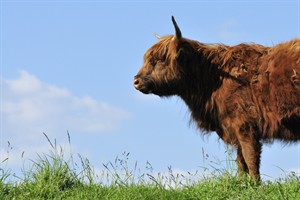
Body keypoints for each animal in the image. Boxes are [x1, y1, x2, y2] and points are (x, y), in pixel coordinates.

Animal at [134, 16, 300, 180]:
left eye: (160, 60)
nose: (136, 81)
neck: (214, 79)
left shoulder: (245, 126)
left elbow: (250, 159)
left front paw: (255, 183)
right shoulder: (233, 128)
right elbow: (241, 162)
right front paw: (243, 183)